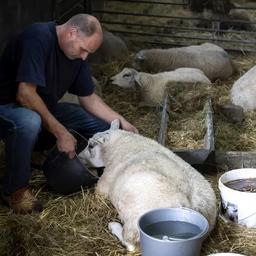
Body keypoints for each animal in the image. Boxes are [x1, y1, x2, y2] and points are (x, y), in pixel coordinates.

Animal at [78, 120, 216, 252]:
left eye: (90, 146)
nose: (78, 157)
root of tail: (192, 206)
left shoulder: (104, 183)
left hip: (134, 218)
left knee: (131, 244)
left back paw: (113, 226)